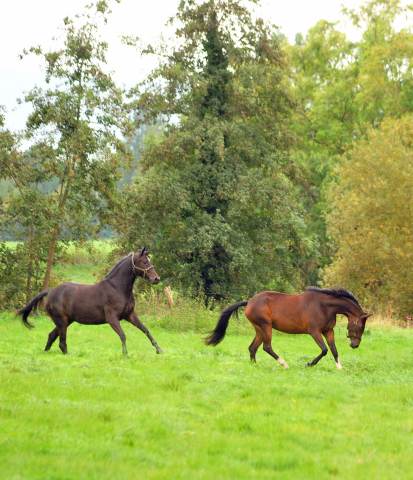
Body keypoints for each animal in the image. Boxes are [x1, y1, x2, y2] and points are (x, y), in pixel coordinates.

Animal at [16, 249, 163, 358]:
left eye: (149, 260)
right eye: (144, 261)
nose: (156, 279)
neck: (117, 288)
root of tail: (51, 292)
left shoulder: (130, 315)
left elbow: (145, 329)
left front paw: (159, 350)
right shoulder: (112, 318)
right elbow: (122, 335)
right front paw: (125, 355)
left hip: (66, 321)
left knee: (52, 336)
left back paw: (45, 353)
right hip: (61, 321)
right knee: (62, 343)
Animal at [204, 286, 372, 370]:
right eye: (361, 326)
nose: (355, 345)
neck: (324, 306)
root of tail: (249, 302)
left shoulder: (328, 331)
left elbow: (334, 350)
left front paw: (339, 367)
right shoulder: (314, 332)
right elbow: (324, 350)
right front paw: (309, 364)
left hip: (259, 329)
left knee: (253, 348)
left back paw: (254, 366)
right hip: (266, 327)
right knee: (267, 347)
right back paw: (284, 364)